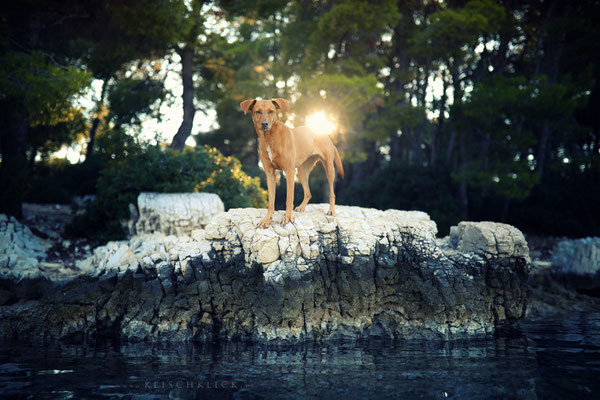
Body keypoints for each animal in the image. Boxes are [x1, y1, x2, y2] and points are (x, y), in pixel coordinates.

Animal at [239, 97, 342, 228]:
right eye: (258, 111)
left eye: (271, 111)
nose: (265, 124)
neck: (269, 138)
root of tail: (326, 135)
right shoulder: (270, 173)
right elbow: (271, 201)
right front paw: (267, 219)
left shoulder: (289, 171)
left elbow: (289, 198)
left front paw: (287, 217)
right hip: (302, 172)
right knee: (308, 193)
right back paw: (302, 207)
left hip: (329, 168)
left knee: (332, 193)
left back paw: (331, 210)